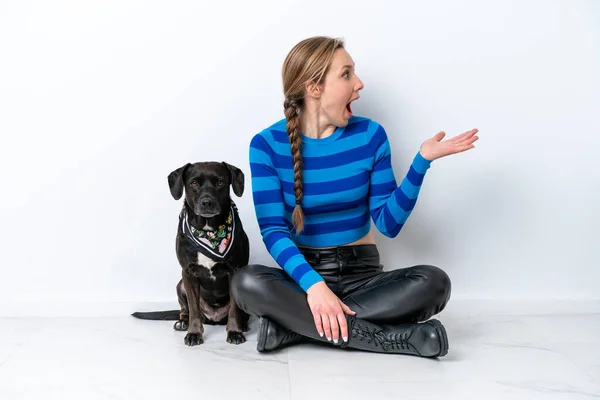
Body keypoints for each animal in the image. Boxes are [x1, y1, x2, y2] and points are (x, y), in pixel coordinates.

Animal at [132, 161, 250, 346]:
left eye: (220, 182)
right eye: (194, 183)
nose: (207, 202)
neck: (209, 232)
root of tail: (213, 318)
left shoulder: (234, 271)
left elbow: (234, 308)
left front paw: (235, 331)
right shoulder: (188, 272)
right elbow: (194, 308)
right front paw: (194, 333)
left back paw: (243, 324)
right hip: (181, 284)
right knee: (186, 309)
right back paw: (183, 322)